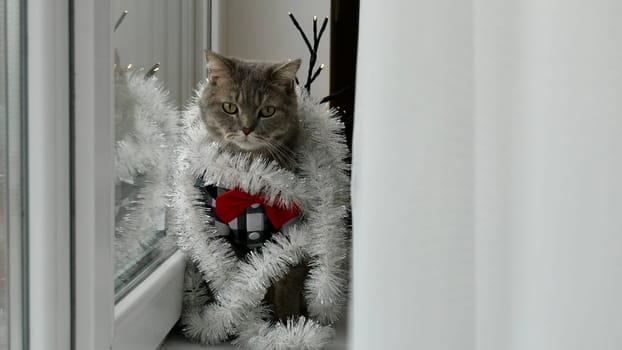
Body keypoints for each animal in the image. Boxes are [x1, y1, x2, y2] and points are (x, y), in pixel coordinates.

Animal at [199, 50, 308, 322]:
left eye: (267, 111)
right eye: (230, 107)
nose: (247, 128)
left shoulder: (291, 230)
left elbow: (287, 281)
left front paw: (287, 323)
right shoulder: (220, 229)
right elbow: (234, 280)